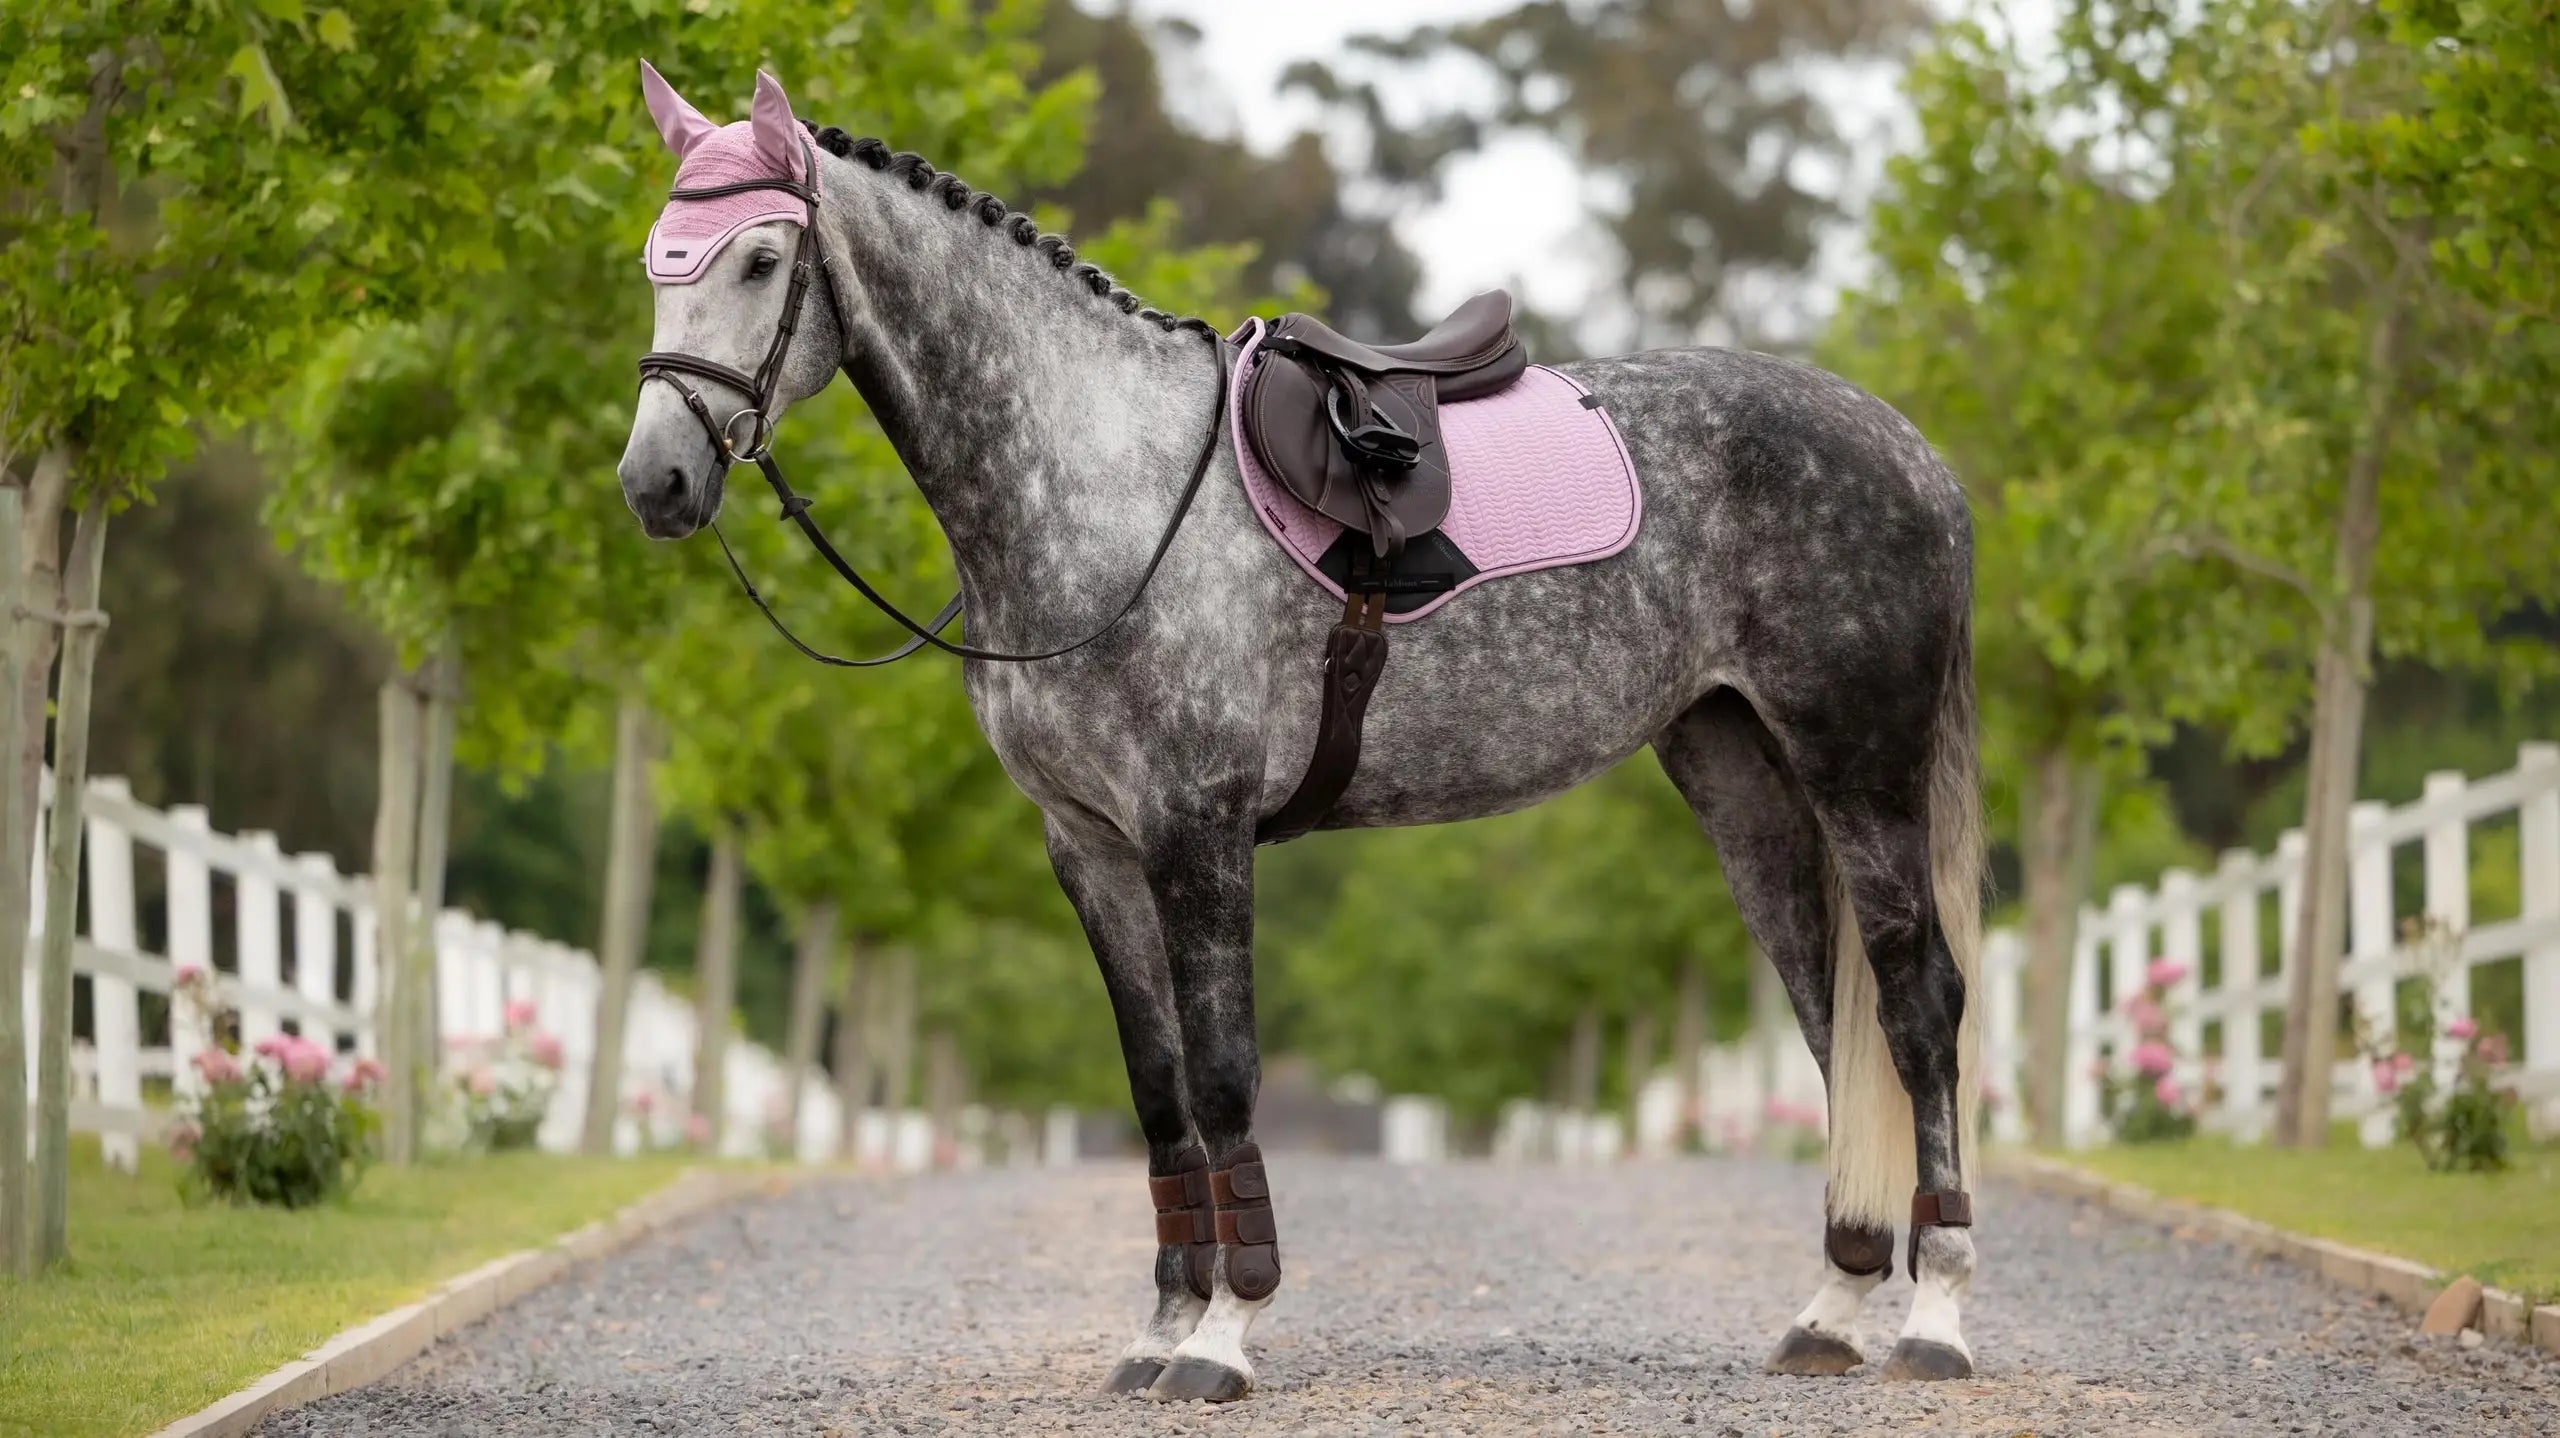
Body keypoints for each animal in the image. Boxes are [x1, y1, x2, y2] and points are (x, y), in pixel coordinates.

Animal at [616, 68, 1985, 1403]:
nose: (655, 482)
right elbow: (1158, 1088)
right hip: (1735, 768)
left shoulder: (1198, 827)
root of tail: (1912, 449)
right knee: (1827, 1015)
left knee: (1917, 1003)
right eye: (653, 260)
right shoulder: (1088, 846)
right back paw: (1830, 1308)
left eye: (758, 259)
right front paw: (1161, 1329)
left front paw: (1223, 1335)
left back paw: (1935, 1318)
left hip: (1859, 765)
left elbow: (1224, 1076)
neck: (1107, 485)